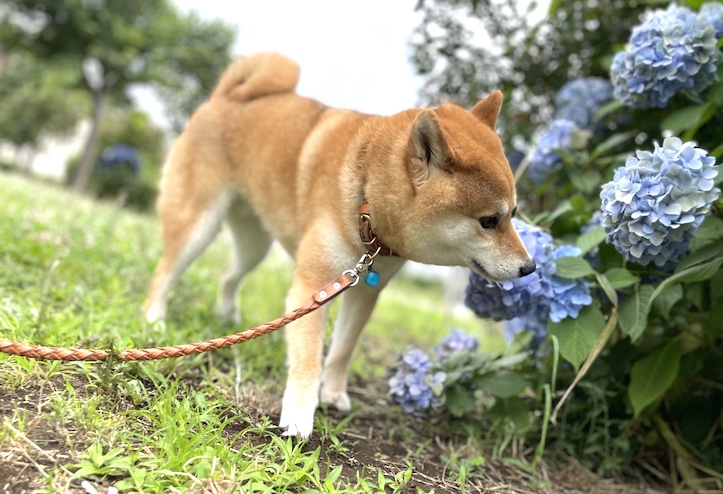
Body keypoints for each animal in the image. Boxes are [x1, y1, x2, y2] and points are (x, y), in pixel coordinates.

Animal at [143, 52, 536, 438]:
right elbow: (308, 357)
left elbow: (343, 349)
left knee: (228, 275)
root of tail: (225, 97)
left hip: (255, 244)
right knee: (163, 273)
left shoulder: (364, 291)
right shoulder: (313, 287)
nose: (530, 267)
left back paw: (228, 317)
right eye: (489, 221)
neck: (365, 201)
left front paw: (332, 394)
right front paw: (299, 416)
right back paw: (154, 321)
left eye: (514, 214)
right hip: (198, 224)